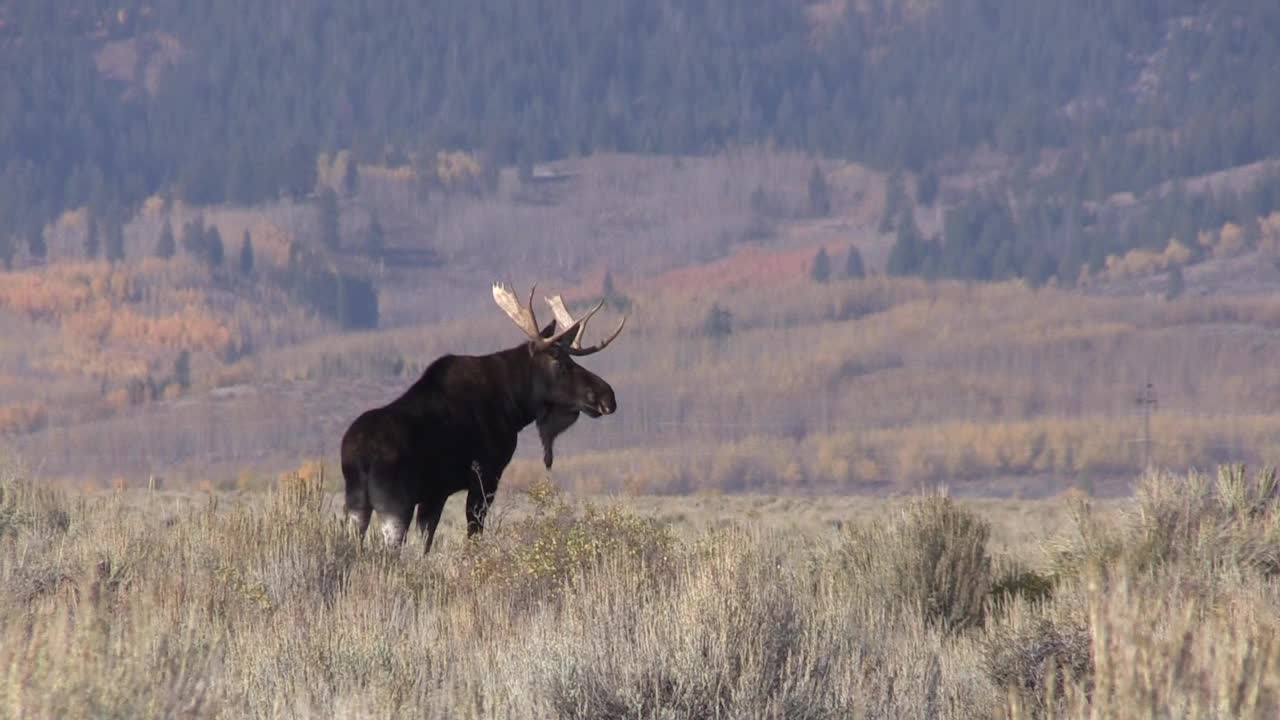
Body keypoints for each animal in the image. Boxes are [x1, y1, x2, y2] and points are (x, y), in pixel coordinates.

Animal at [337, 281, 622, 548]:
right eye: (559, 361)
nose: (608, 396)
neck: (514, 406)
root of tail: (358, 456)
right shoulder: (485, 477)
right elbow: (473, 534)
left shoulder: (435, 494)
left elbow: (426, 543)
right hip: (394, 504)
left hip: (357, 504)